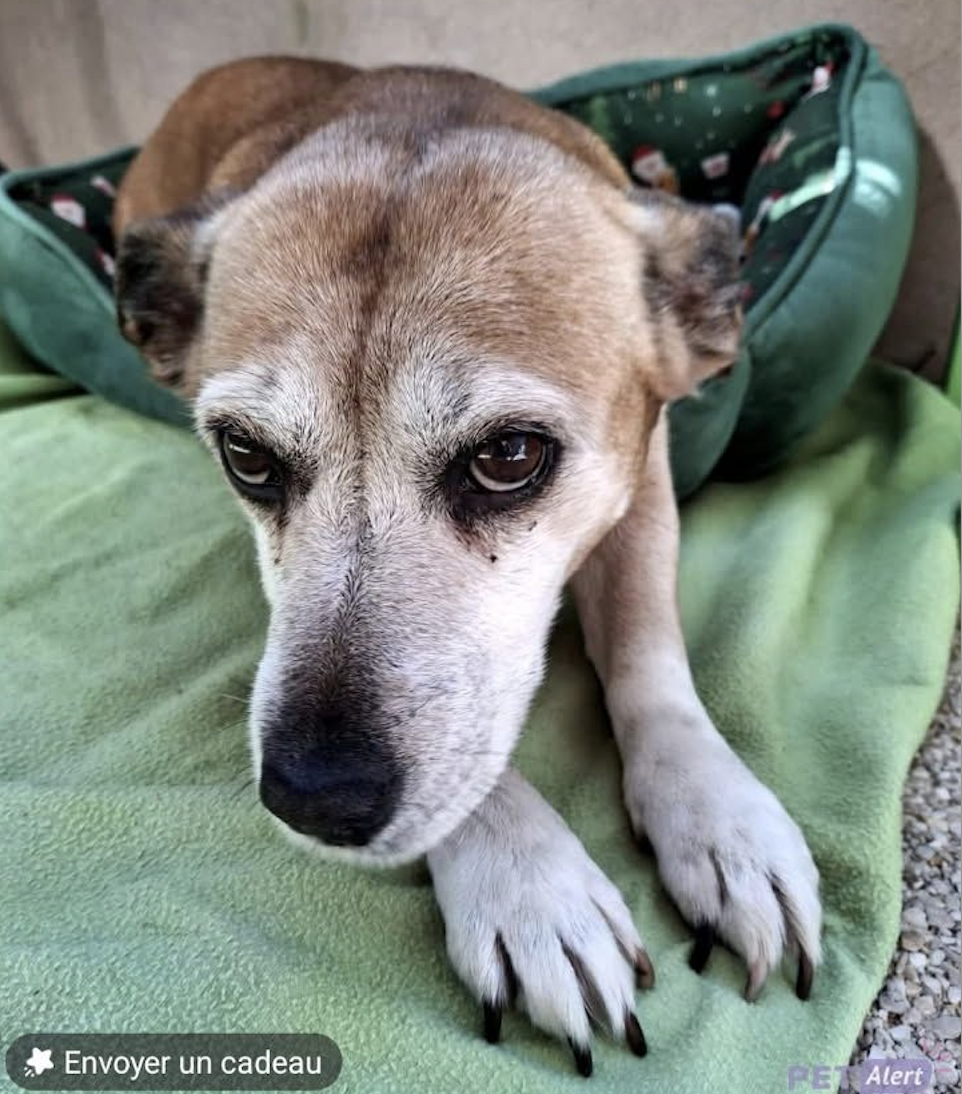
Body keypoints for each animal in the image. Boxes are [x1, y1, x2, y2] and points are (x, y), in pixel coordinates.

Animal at [113, 56, 821, 1076]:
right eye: (246, 456)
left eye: (510, 457)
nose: (313, 798)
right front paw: (530, 882)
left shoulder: (641, 474)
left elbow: (646, 648)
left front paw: (717, 813)